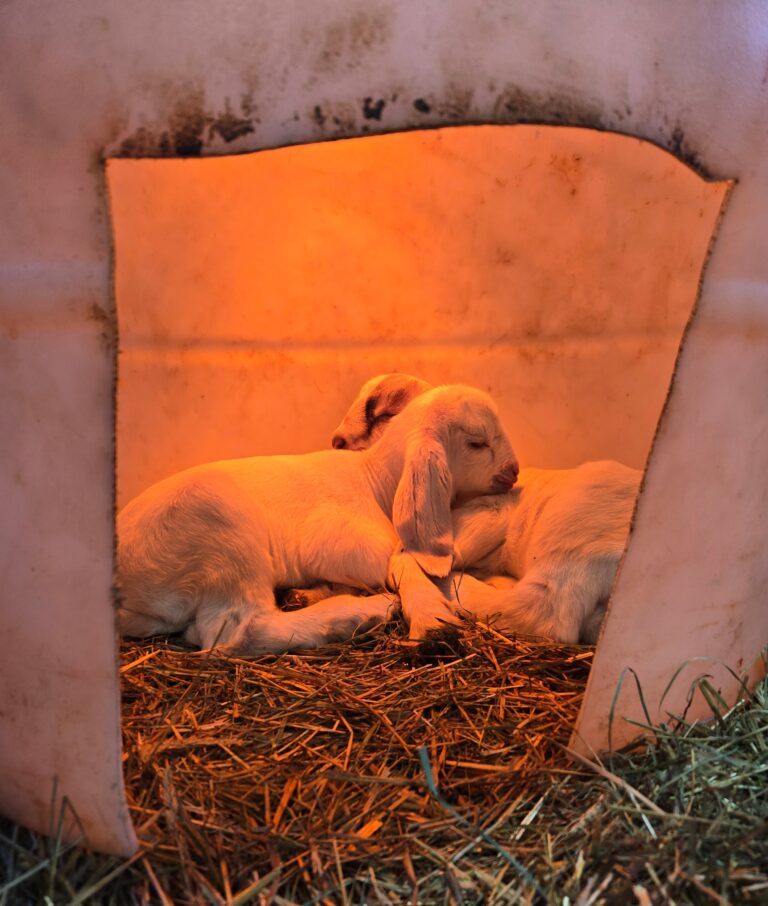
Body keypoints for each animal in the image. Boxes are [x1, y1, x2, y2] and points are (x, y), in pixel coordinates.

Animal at [117, 384, 520, 652]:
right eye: (477, 443)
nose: (513, 471)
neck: (375, 482)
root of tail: (125, 589)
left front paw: (310, 592)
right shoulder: (341, 541)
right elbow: (401, 559)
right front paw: (433, 618)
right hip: (223, 535)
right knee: (242, 630)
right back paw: (362, 613)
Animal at [332, 374, 640, 644]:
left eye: (380, 414)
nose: (337, 440)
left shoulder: (484, 513)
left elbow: (415, 555)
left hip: (573, 529)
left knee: (540, 613)